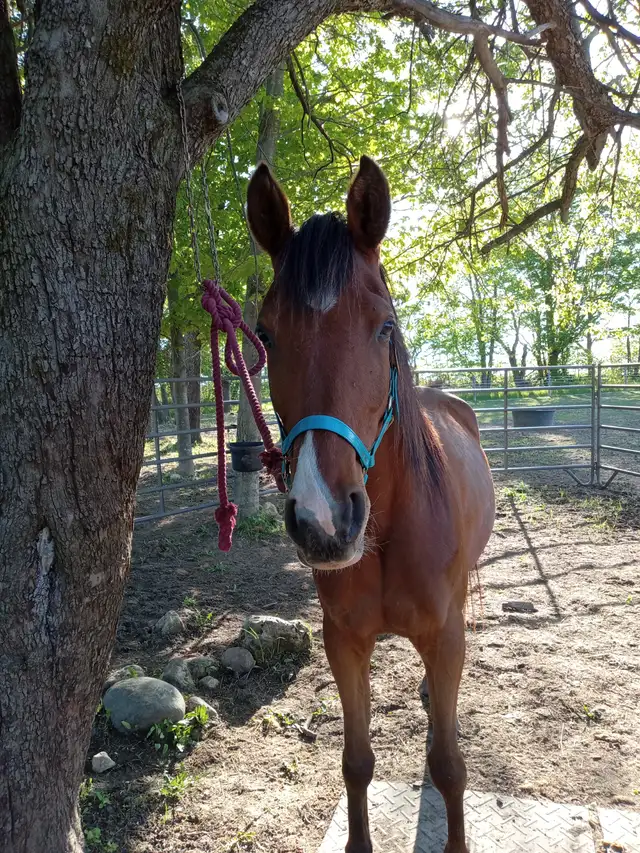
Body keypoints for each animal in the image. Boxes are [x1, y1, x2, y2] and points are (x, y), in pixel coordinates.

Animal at [246, 155, 495, 853]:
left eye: (384, 325)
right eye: (265, 335)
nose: (325, 520)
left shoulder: (445, 635)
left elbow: (448, 765)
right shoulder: (343, 642)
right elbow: (356, 762)